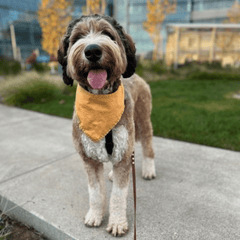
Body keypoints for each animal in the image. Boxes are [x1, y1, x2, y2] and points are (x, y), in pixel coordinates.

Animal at [57, 13, 156, 236]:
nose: (92, 50)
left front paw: (117, 223)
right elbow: (95, 192)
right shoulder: (89, 159)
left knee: (148, 145)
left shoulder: (123, 151)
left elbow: (118, 196)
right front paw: (95, 215)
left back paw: (148, 169)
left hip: (142, 120)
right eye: (78, 37)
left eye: (107, 34)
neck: (100, 101)